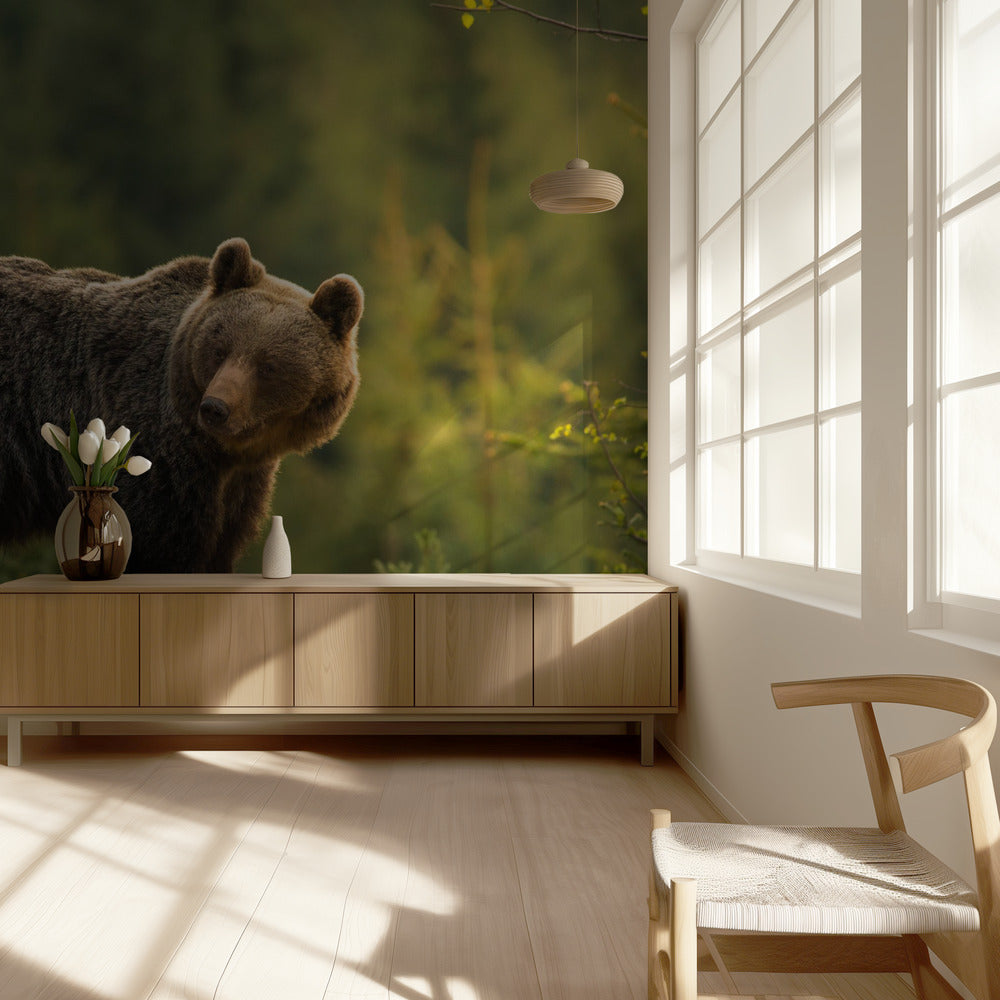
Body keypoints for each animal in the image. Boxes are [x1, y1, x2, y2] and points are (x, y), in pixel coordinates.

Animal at [0, 237, 363, 572]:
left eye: (269, 366)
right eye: (219, 349)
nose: (216, 407)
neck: (224, 453)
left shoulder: (239, 487)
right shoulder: (157, 463)